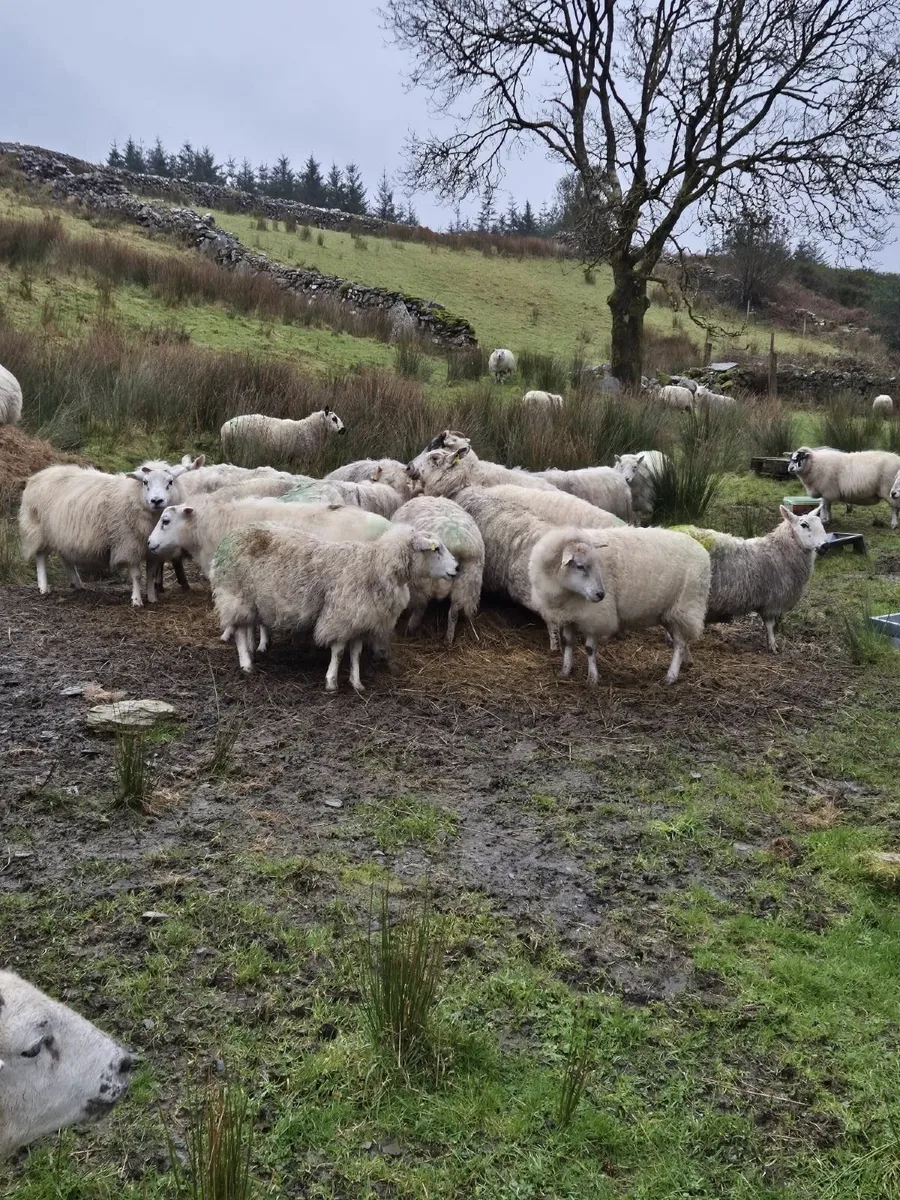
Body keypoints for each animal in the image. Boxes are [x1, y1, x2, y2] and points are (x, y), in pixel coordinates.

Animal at [19, 458, 203, 605]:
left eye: (170, 482)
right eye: (145, 482)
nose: (156, 501)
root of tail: (41, 474)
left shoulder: (152, 550)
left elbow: (150, 574)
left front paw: (152, 597)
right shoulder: (129, 544)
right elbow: (137, 575)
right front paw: (137, 600)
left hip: (63, 534)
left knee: (66, 559)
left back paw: (78, 584)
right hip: (38, 528)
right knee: (40, 556)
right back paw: (43, 587)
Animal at [210, 522, 458, 689]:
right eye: (436, 549)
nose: (457, 569)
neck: (375, 567)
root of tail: (231, 536)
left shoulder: (360, 620)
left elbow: (356, 653)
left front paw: (356, 682)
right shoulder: (341, 617)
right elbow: (338, 652)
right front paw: (331, 681)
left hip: (249, 600)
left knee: (246, 626)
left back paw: (253, 651)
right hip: (235, 594)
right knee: (239, 631)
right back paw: (246, 664)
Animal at [391, 496, 485, 644]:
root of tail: (456, 539)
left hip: (421, 582)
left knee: (420, 606)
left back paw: (411, 627)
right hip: (467, 582)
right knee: (453, 612)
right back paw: (448, 639)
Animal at [528, 526, 711, 685]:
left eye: (598, 565)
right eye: (579, 566)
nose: (601, 595)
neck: (567, 591)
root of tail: (703, 551)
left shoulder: (596, 615)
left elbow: (589, 648)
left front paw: (593, 678)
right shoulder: (569, 614)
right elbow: (567, 643)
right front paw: (565, 671)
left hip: (685, 605)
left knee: (679, 643)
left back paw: (671, 676)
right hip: (668, 612)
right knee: (682, 640)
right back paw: (687, 662)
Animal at [673, 505, 827, 652]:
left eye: (821, 523)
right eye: (804, 525)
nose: (825, 545)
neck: (780, 550)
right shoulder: (772, 601)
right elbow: (770, 625)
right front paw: (772, 645)